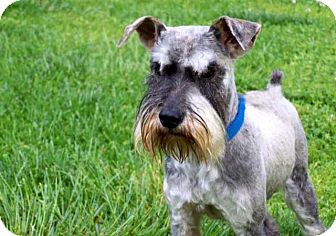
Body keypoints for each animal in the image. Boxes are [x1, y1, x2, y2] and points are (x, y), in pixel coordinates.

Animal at [118, 15, 326, 235]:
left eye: (209, 71)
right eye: (157, 68)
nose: (169, 117)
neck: (202, 155)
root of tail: (273, 91)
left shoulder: (248, 222)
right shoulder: (181, 215)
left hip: (299, 184)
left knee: (311, 221)